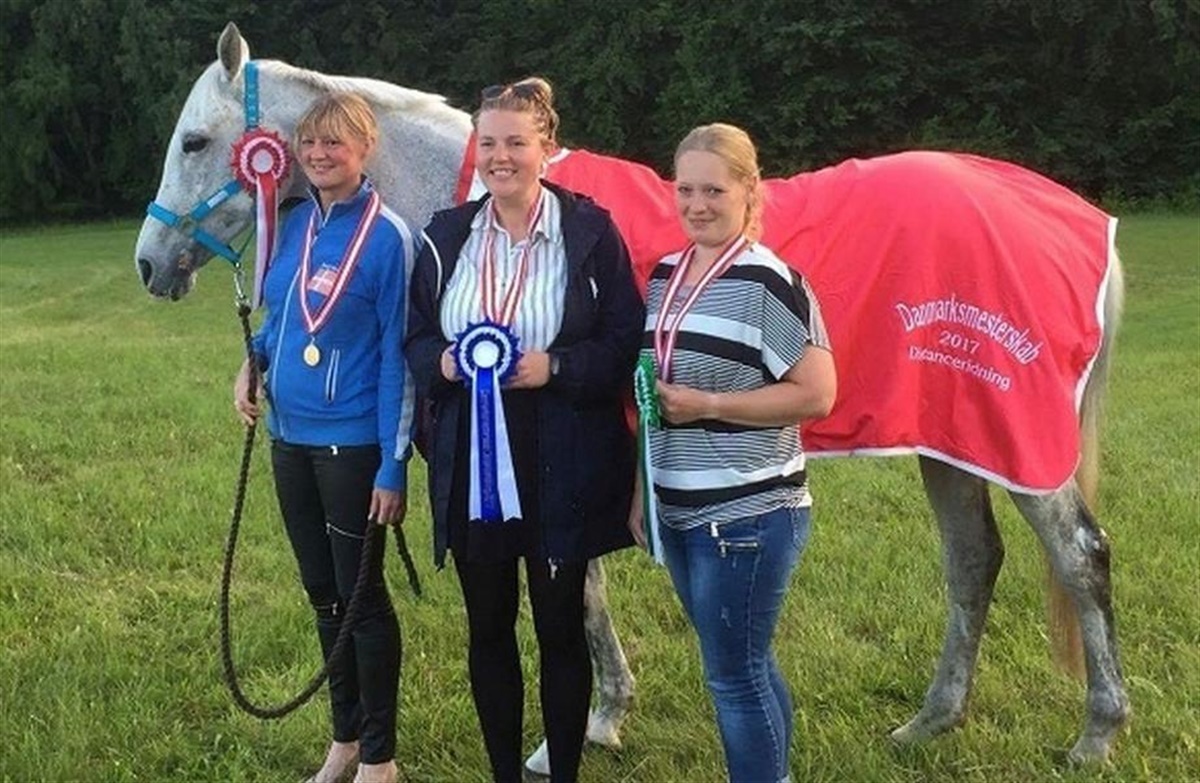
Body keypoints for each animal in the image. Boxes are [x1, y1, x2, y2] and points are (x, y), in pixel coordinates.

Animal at [134, 22, 1130, 774]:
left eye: (194, 142)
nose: (149, 264)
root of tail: (1067, 216)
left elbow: (575, 594)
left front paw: (574, 731)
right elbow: (588, 591)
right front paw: (607, 716)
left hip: (1021, 443)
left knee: (1079, 557)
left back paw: (1096, 731)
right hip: (947, 440)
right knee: (972, 562)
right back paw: (932, 719)